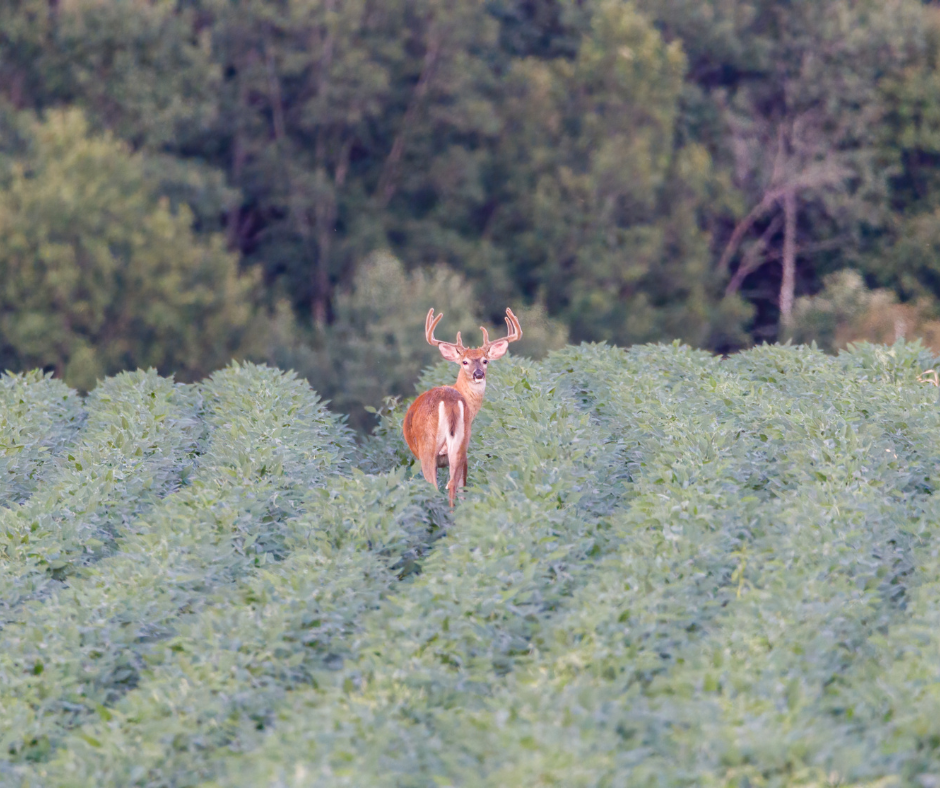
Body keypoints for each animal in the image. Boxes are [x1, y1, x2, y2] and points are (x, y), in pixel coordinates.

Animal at [403, 307, 522, 506]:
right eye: (465, 361)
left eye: (485, 360)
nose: (478, 374)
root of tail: (449, 402)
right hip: (461, 443)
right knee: (453, 485)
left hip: (428, 446)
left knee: (436, 485)